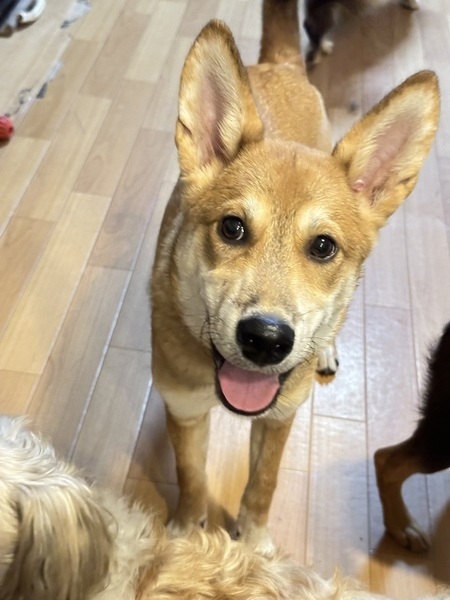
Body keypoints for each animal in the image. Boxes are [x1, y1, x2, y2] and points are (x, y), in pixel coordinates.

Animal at [151, 0, 440, 553]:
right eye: (232, 228)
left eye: (323, 247)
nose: (265, 340)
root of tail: (279, 65)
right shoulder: (184, 409)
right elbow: (191, 478)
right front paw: (185, 535)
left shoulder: (280, 416)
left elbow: (262, 484)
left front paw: (253, 543)